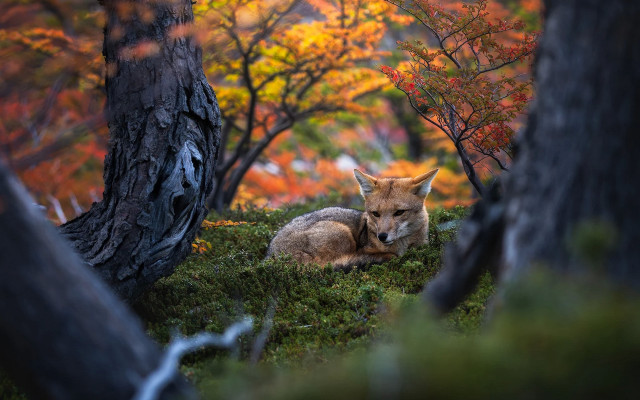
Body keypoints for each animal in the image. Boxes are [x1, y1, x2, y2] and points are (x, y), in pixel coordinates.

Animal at [266, 168, 439, 270]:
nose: (382, 236)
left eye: (399, 212)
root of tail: (270, 254)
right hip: (343, 233)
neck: (401, 247)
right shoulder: (364, 249)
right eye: (375, 213)